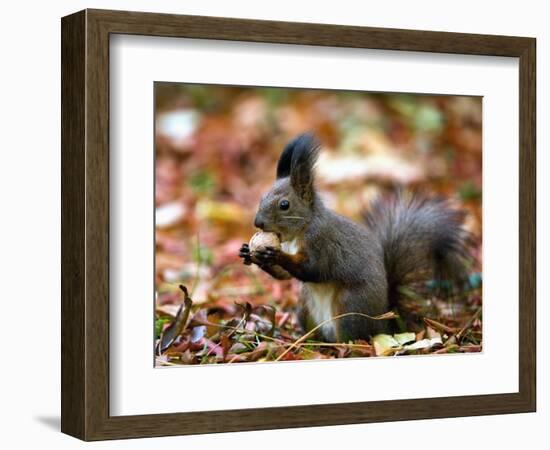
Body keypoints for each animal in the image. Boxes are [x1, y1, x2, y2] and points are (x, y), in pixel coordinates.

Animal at [239, 133, 472, 342]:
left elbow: (313, 269)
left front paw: (275, 255)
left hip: (349, 307)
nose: (257, 223)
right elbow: (284, 275)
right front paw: (249, 253)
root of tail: (384, 322)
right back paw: (305, 339)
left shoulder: (322, 243)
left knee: (352, 336)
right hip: (305, 307)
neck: (300, 231)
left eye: (284, 205)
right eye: (262, 197)